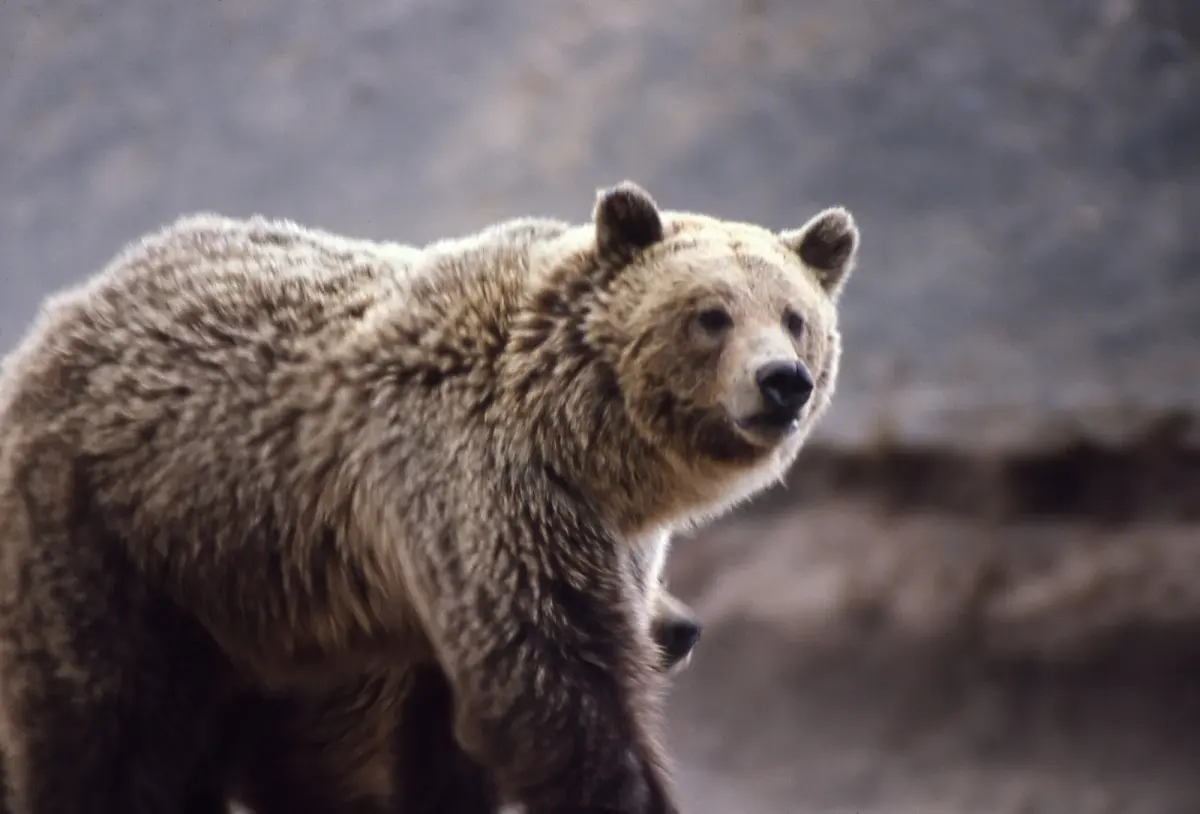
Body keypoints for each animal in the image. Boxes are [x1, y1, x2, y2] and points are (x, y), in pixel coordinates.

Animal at [0, 179, 859, 814]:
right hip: (116, 538)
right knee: (107, 726)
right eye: (711, 314)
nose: (781, 381)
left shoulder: (573, 547)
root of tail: (55, 320)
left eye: (796, 317)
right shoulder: (484, 493)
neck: (578, 437)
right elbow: (558, 689)